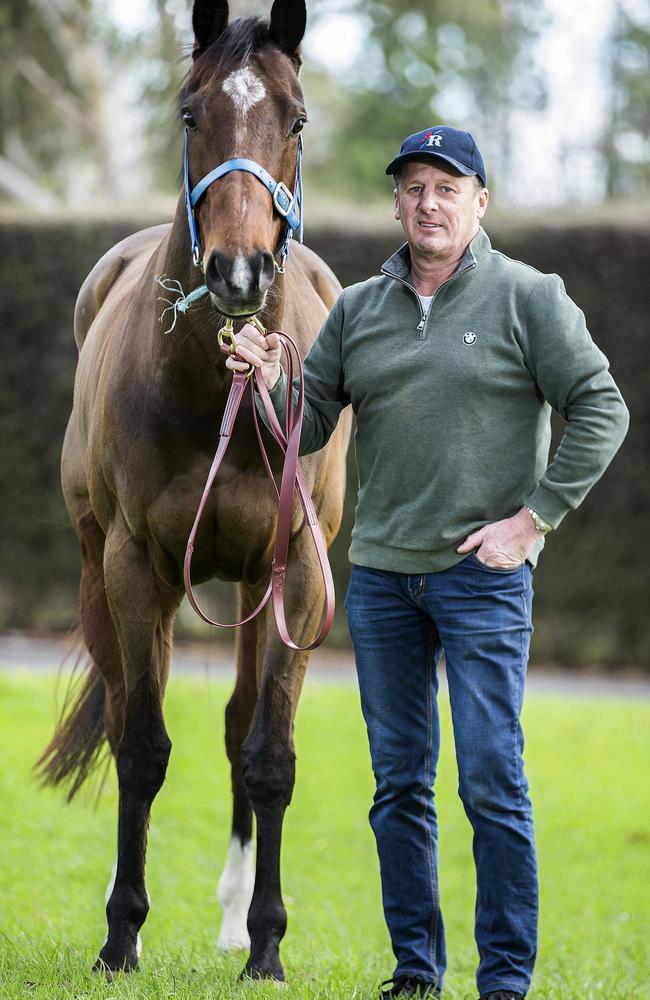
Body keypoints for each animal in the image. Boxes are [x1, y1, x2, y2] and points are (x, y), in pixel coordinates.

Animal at [36, 0, 350, 984]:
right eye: (189, 115)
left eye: (295, 120)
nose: (238, 272)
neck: (222, 391)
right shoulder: (137, 568)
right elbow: (141, 748)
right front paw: (120, 935)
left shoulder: (299, 577)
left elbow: (268, 755)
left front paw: (267, 947)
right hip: (110, 579)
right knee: (126, 708)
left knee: (238, 721)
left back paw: (234, 921)